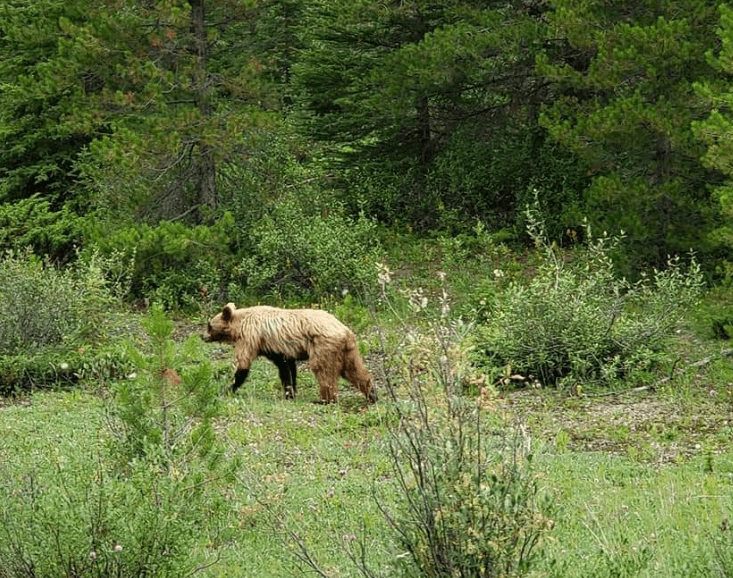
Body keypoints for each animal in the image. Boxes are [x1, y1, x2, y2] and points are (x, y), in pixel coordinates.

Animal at [203, 304, 378, 402]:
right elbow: (288, 368)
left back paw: (325, 399)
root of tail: (345, 330)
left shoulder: (250, 337)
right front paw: (292, 391)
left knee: (324, 371)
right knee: (355, 370)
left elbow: (244, 364)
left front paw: (228, 388)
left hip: (323, 346)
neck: (240, 324)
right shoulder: (277, 349)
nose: (201, 335)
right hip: (348, 350)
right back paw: (372, 394)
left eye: (209, 325)